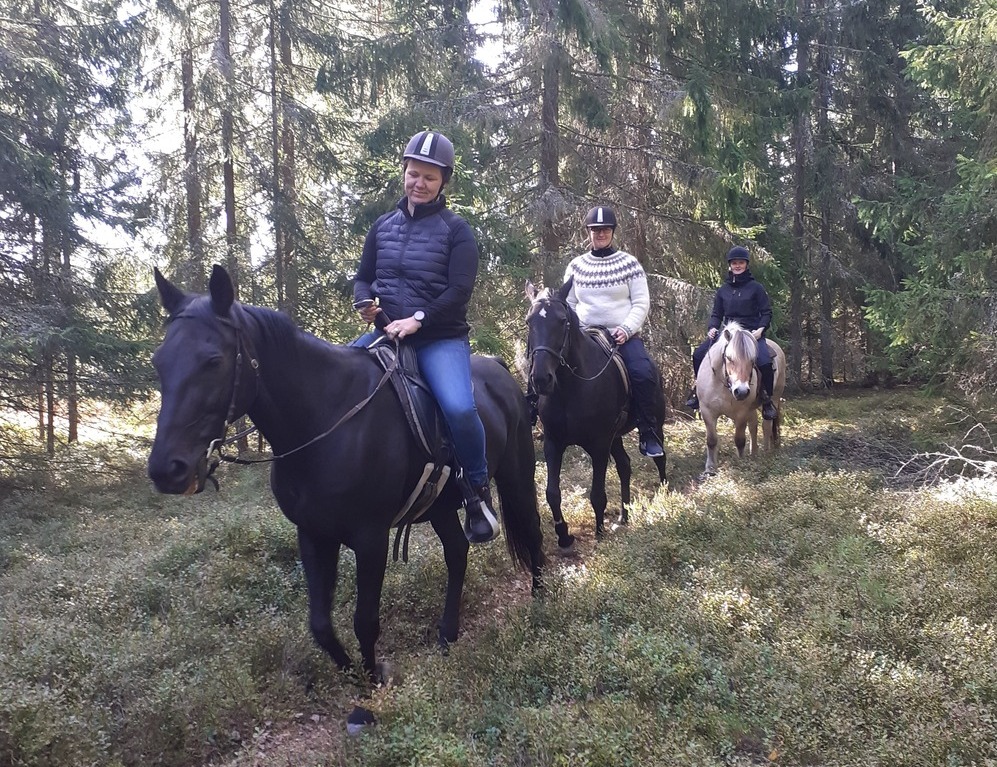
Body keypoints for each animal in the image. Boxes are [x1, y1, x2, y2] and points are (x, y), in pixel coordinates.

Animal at [148, 268, 544, 732]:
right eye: (159, 361)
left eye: (213, 361)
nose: (166, 469)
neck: (325, 421)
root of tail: (500, 371)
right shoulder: (313, 534)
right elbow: (320, 624)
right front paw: (357, 677)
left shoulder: (370, 538)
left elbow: (364, 620)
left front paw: (368, 695)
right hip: (441, 506)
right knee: (457, 554)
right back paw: (447, 633)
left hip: (516, 475)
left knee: (532, 531)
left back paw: (542, 603)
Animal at [524, 280, 664, 548]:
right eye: (529, 321)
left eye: (562, 321)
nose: (541, 379)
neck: (570, 389)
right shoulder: (553, 443)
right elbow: (552, 493)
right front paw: (563, 535)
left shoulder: (599, 445)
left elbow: (597, 494)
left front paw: (599, 533)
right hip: (615, 438)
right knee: (624, 465)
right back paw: (623, 516)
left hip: (654, 425)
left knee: (660, 457)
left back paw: (664, 493)